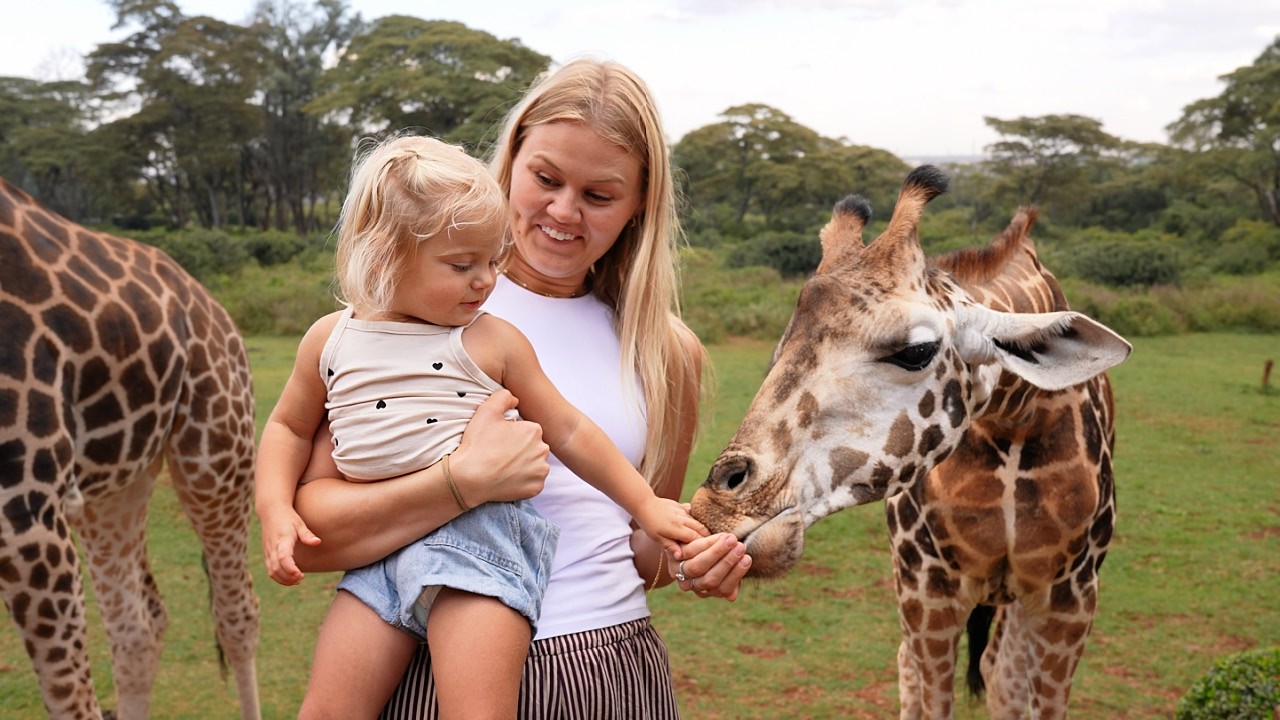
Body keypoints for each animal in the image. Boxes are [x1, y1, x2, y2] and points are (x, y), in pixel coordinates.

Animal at [0, 178, 260, 720]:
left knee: (236, 613)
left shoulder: (25, 513)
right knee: (138, 627)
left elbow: (71, 700)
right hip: (113, 485)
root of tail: (216, 309)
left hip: (218, 450)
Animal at [691, 165, 1131, 719]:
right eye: (779, 350)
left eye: (916, 350)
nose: (715, 510)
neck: (1016, 416)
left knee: (1002, 675)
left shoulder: (1070, 598)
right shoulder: (926, 589)